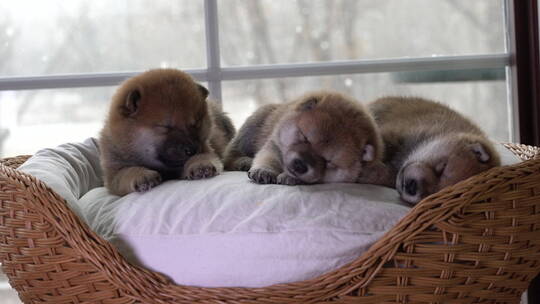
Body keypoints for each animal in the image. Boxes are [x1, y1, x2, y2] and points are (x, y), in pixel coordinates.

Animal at [100, 68, 235, 196]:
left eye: (195, 124)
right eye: (166, 126)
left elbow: (205, 156)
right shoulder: (113, 174)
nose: (192, 150)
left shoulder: (205, 147)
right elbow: (127, 171)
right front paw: (142, 175)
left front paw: (200, 163)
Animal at [224, 90, 384, 185]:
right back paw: (244, 161)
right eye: (305, 138)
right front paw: (263, 171)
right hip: (251, 129)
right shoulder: (274, 144)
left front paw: (289, 177)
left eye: (328, 161)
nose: (300, 165)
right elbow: (268, 159)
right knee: (230, 154)